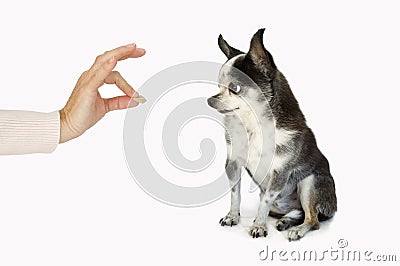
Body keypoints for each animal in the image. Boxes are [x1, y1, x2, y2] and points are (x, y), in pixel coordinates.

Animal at [208, 29, 336, 241]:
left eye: (234, 88)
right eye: (218, 86)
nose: (210, 100)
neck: (254, 125)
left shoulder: (280, 173)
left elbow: (265, 201)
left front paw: (259, 226)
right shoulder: (233, 164)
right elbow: (235, 194)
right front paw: (233, 216)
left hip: (309, 183)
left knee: (313, 219)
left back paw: (296, 229)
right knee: (298, 212)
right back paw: (286, 220)